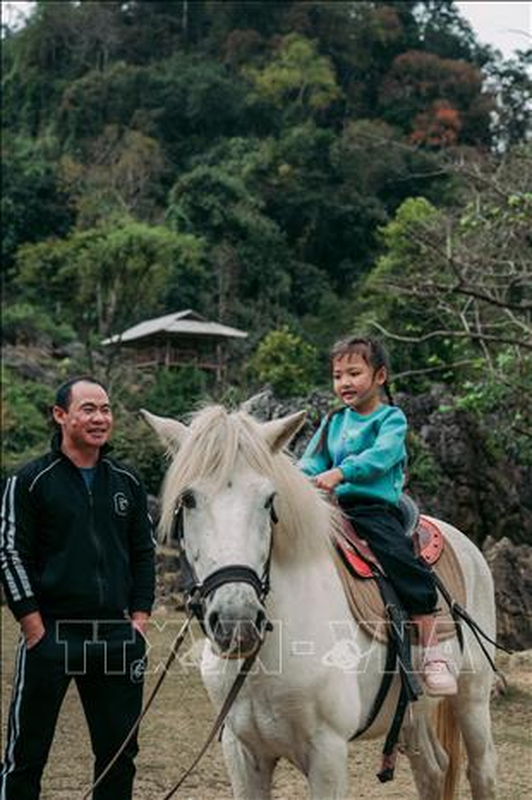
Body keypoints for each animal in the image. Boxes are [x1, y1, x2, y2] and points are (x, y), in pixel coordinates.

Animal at [143, 406, 496, 800]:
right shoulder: (241, 750)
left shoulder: (328, 753)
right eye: (188, 499)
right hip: (413, 715)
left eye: (269, 500)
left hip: (472, 696)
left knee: (481, 771)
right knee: (433, 770)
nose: (238, 622)